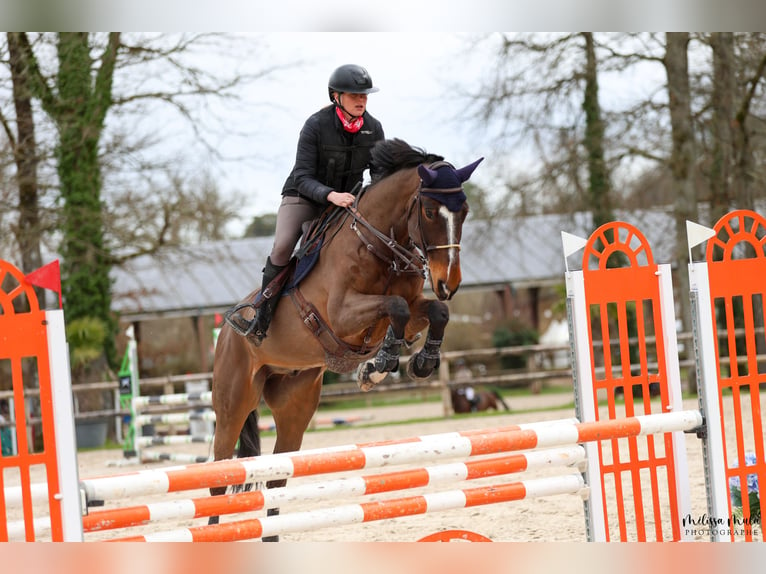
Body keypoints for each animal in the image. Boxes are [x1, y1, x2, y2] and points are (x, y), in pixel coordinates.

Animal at [208, 137, 486, 536]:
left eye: (464, 211)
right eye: (431, 212)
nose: (449, 283)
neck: (380, 246)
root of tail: (224, 337)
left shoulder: (411, 305)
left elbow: (430, 312)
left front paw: (414, 362)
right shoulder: (341, 316)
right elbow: (395, 307)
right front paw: (381, 365)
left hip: (295, 403)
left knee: (277, 476)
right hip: (233, 401)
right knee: (218, 476)